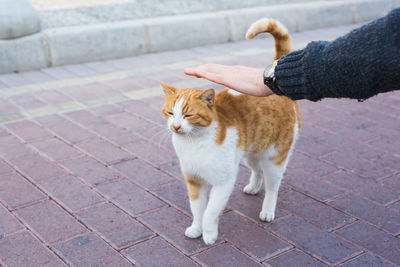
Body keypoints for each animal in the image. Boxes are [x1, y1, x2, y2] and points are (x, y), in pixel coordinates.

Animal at [161, 17, 302, 246]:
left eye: (188, 115)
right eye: (170, 112)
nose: (176, 126)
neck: (194, 143)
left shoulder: (223, 183)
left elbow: (210, 212)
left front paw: (209, 235)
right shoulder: (194, 180)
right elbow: (197, 209)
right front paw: (196, 229)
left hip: (274, 159)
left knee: (272, 187)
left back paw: (267, 211)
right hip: (251, 154)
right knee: (257, 171)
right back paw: (253, 187)